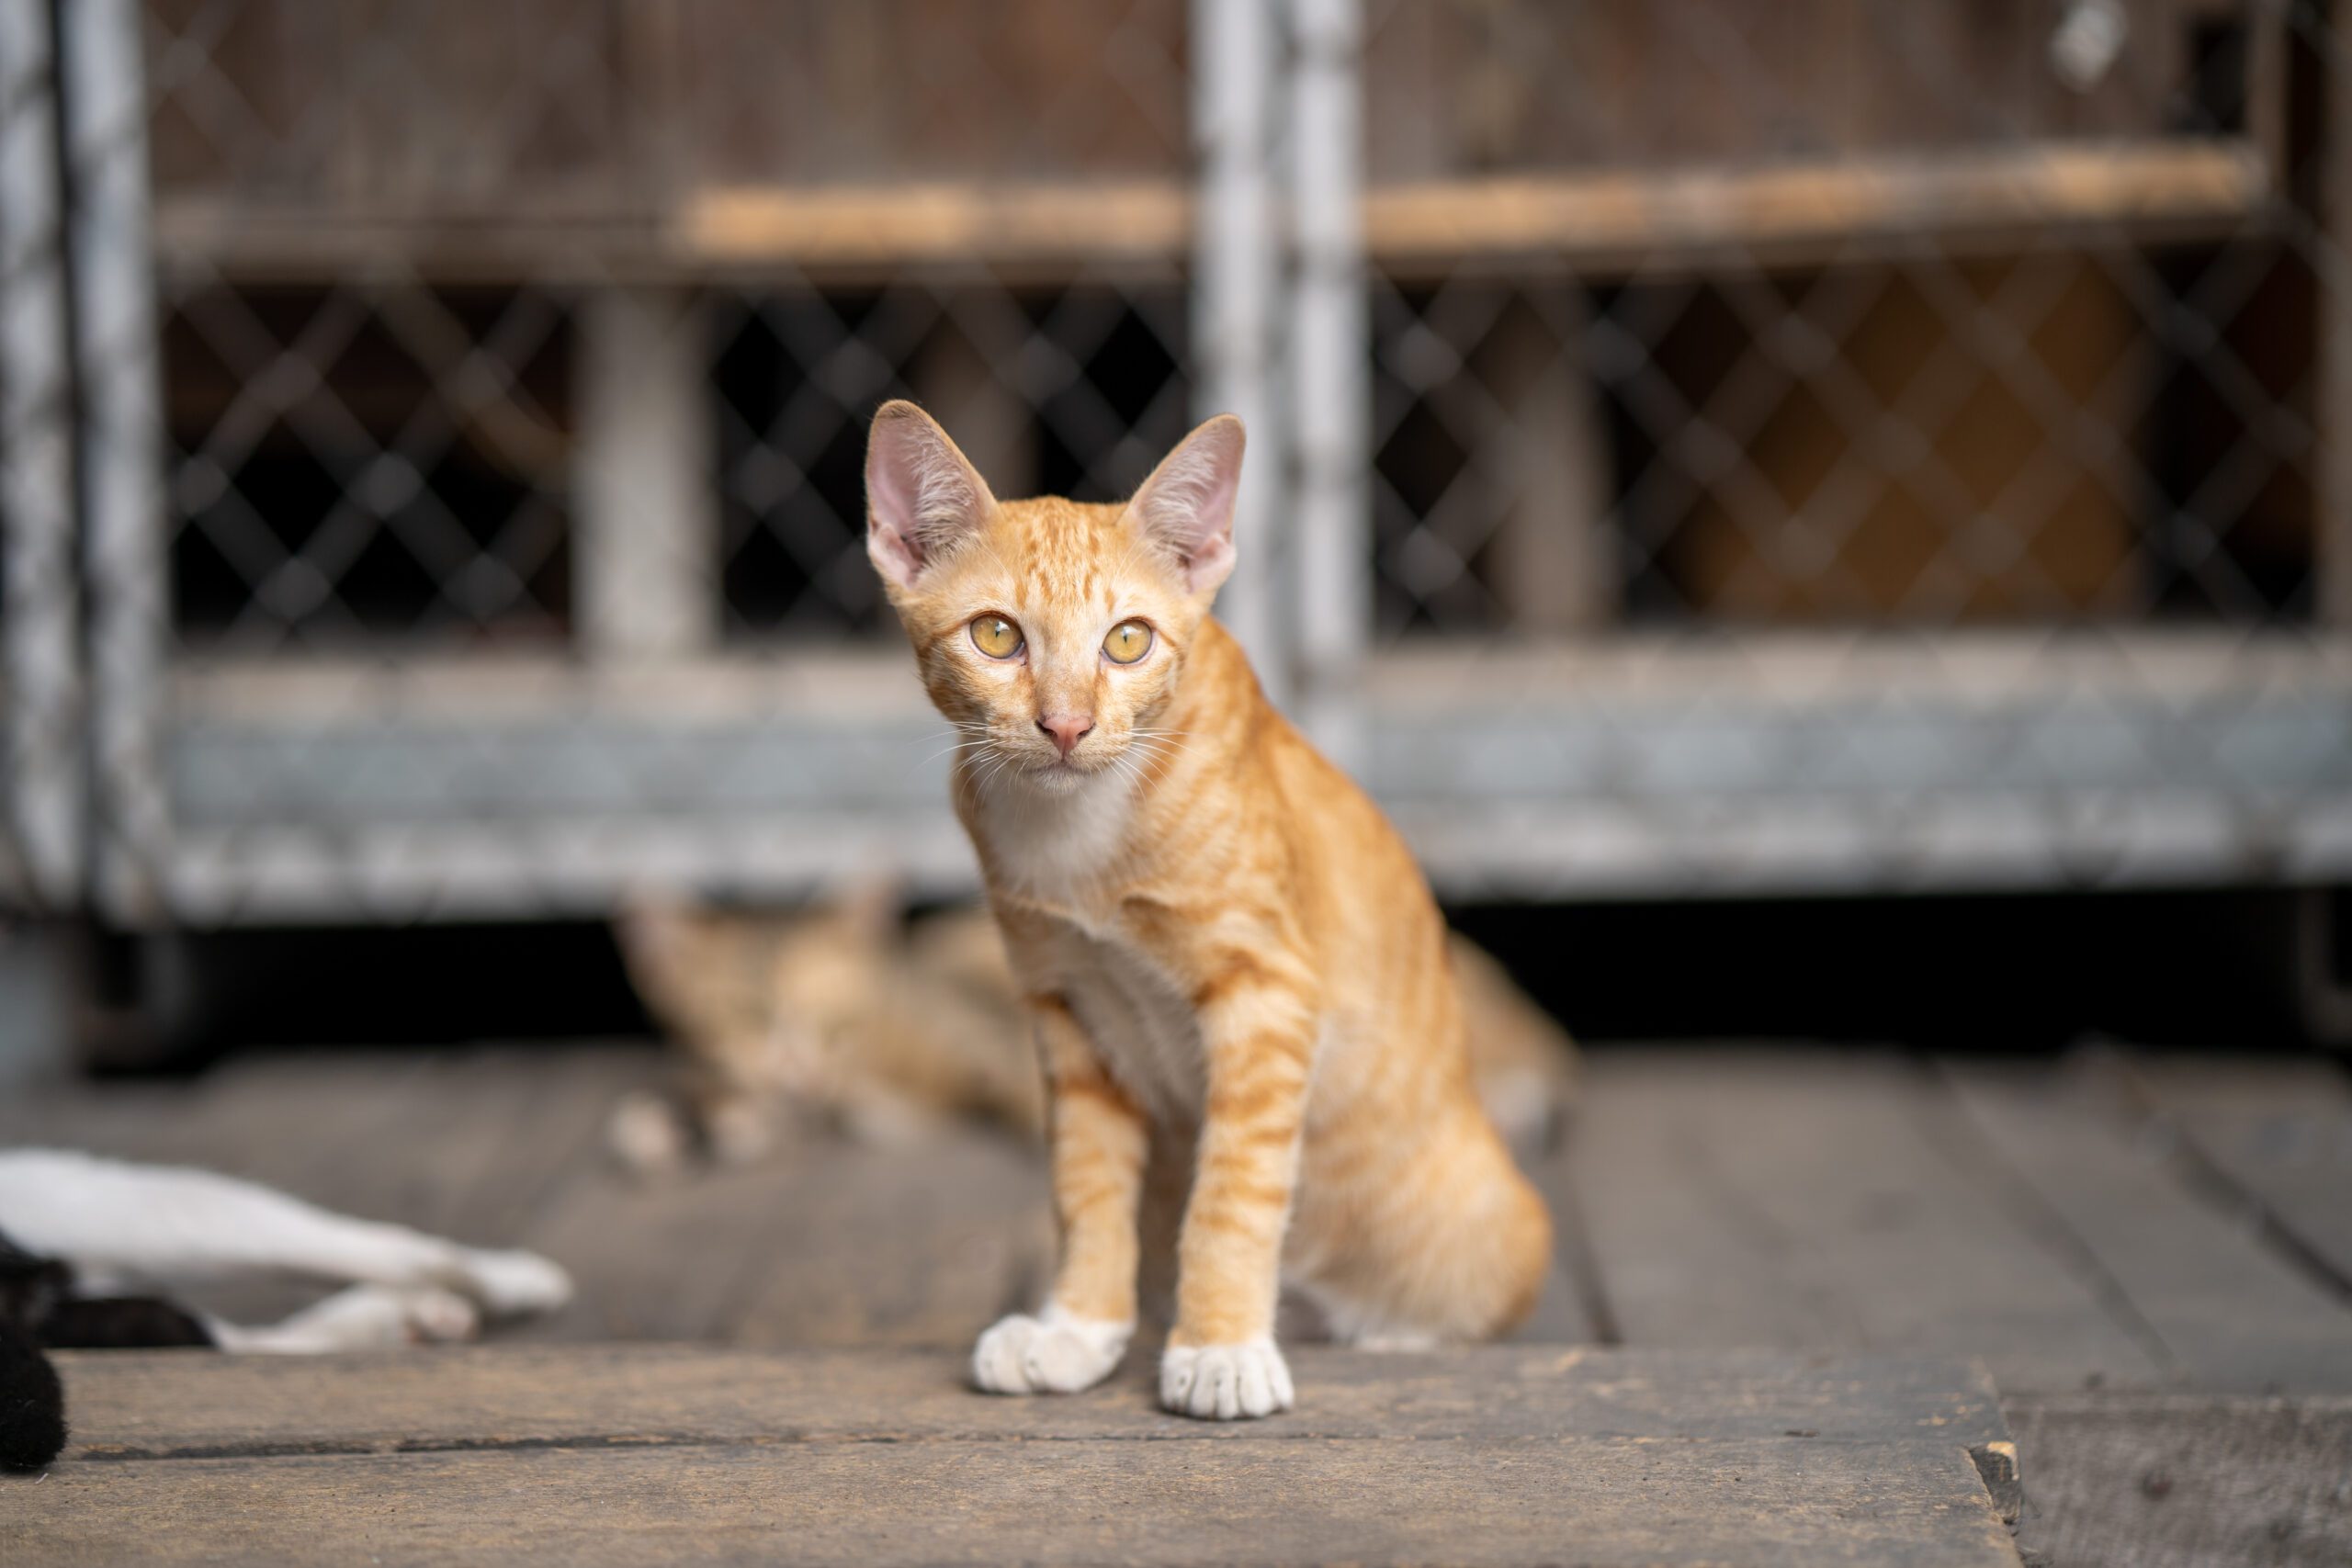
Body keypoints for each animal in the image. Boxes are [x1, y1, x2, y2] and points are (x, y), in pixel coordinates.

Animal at [855, 401, 1552, 1419]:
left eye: (1127, 641)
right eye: (995, 636)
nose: (1065, 725)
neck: (1077, 840)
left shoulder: (1268, 993)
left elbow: (1233, 1190)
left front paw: (1219, 1343)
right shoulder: (1065, 1004)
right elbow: (1086, 1187)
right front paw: (1077, 1328)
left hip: (1493, 1220)